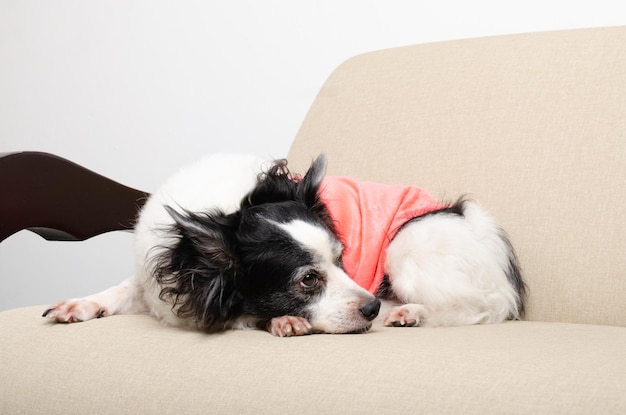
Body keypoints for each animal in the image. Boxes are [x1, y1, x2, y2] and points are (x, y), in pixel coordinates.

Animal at [41, 153, 524, 338]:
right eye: (308, 280)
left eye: (343, 260)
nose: (369, 306)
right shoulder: (154, 281)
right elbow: (122, 290)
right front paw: (81, 304)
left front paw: (283, 320)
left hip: (409, 244)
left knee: (476, 309)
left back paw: (406, 312)